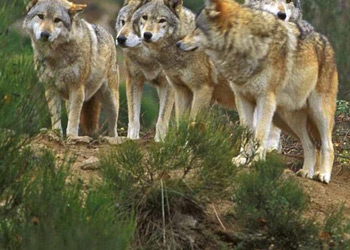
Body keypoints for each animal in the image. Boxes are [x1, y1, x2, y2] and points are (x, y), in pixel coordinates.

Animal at [23, 0, 119, 143]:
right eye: (40, 16)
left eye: (57, 20)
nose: (45, 34)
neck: (55, 58)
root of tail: (109, 35)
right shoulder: (50, 88)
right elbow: (56, 116)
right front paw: (56, 134)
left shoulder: (77, 88)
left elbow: (74, 118)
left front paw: (72, 136)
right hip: (70, 99)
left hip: (110, 98)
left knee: (114, 126)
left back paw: (113, 139)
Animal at [115, 0, 174, 142]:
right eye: (123, 21)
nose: (120, 38)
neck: (150, 59)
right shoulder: (134, 80)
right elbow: (133, 117)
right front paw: (132, 138)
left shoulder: (168, 85)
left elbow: (162, 118)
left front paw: (160, 141)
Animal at [178, 0, 340, 184]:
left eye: (197, 28)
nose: (178, 44)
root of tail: (327, 42)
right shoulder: (242, 99)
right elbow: (247, 133)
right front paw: (242, 159)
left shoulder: (265, 99)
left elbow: (260, 134)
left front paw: (255, 161)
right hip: (289, 119)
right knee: (311, 144)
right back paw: (306, 172)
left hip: (319, 113)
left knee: (328, 145)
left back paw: (323, 175)